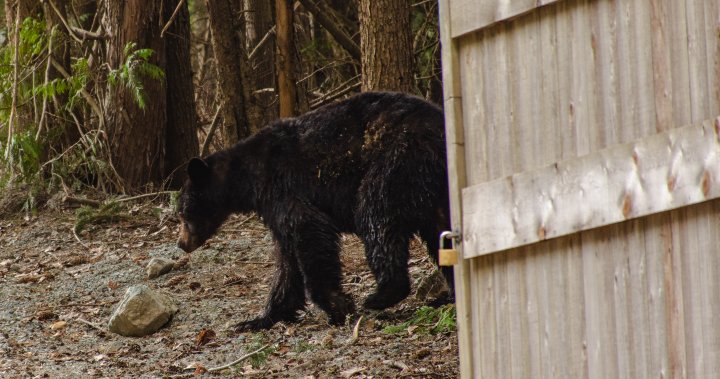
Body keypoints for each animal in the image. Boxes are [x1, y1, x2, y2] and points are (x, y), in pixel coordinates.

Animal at [178, 91, 452, 330]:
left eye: (182, 213)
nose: (181, 244)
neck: (247, 176)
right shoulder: (273, 206)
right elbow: (286, 260)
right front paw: (260, 318)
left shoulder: (282, 187)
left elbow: (310, 231)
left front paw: (338, 306)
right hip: (434, 187)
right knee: (443, 232)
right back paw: (445, 296)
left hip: (398, 161)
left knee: (375, 214)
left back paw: (382, 294)